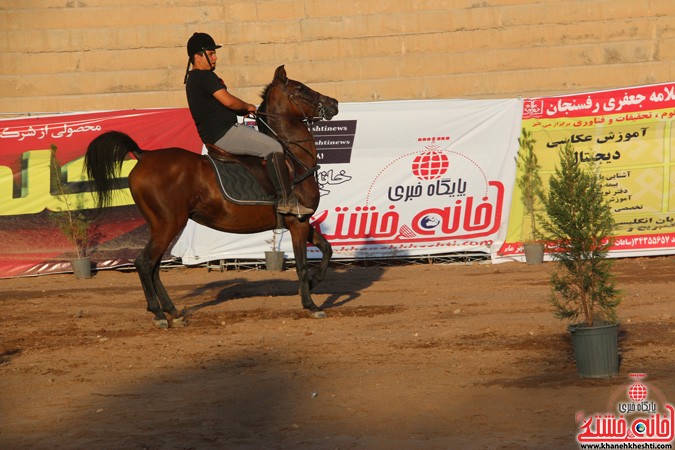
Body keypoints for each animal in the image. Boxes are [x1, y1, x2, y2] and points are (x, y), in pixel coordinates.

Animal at [84, 66, 338, 326]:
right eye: (300, 88)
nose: (334, 103)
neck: (294, 159)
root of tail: (144, 155)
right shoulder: (297, 222)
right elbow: (302, 265)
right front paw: (311, 305)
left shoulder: (301, 221)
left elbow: (327, 249)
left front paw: (314, 282)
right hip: (169, 224)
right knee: (145, 264)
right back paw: (159, 314)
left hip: (161, 226)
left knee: (153, 266)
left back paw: (173, 312)